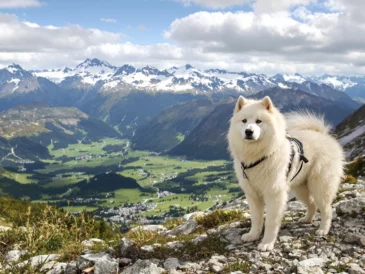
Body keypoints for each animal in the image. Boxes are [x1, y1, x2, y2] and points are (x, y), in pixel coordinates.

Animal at [228, 96, 344, 250]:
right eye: (244, 121)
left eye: (259, 121)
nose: (248, 131)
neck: (258, 156)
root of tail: (323, 135)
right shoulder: (253, 195)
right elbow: (256, 219)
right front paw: (252, 235)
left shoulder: (274, 194)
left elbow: (271, 222)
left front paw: (267, 243)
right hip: (300, 188)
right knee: (312, 204)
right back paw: (306, 219)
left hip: (320, 186)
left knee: (326, 210)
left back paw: (323, 229)